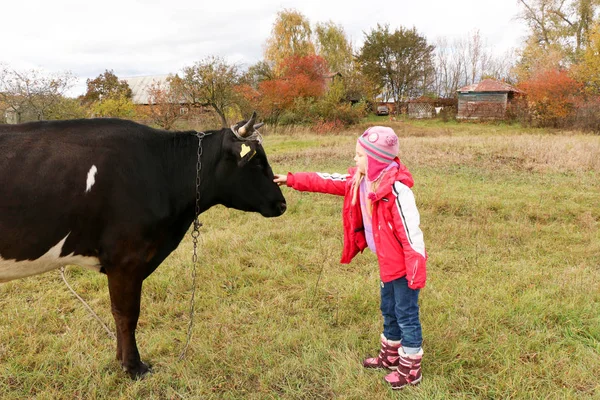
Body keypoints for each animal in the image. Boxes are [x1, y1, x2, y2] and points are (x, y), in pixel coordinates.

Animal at [0, 112, 286, 378]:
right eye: (256, 161)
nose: (282, 204)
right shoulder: (126, 259)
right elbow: (127, 314)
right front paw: (134, 367)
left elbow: (117, 314)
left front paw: (120, 360)